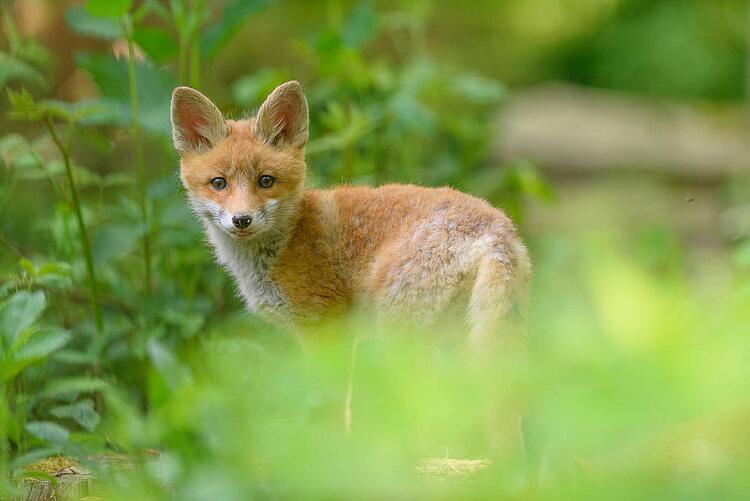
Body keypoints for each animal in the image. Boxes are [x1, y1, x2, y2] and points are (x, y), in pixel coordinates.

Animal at [172, 81, 536, 348]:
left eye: (266, 181)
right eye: (219, 183)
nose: (242, 220)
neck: (287, 240)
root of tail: (495, 230)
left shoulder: (324, 327)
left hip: (399, 329)